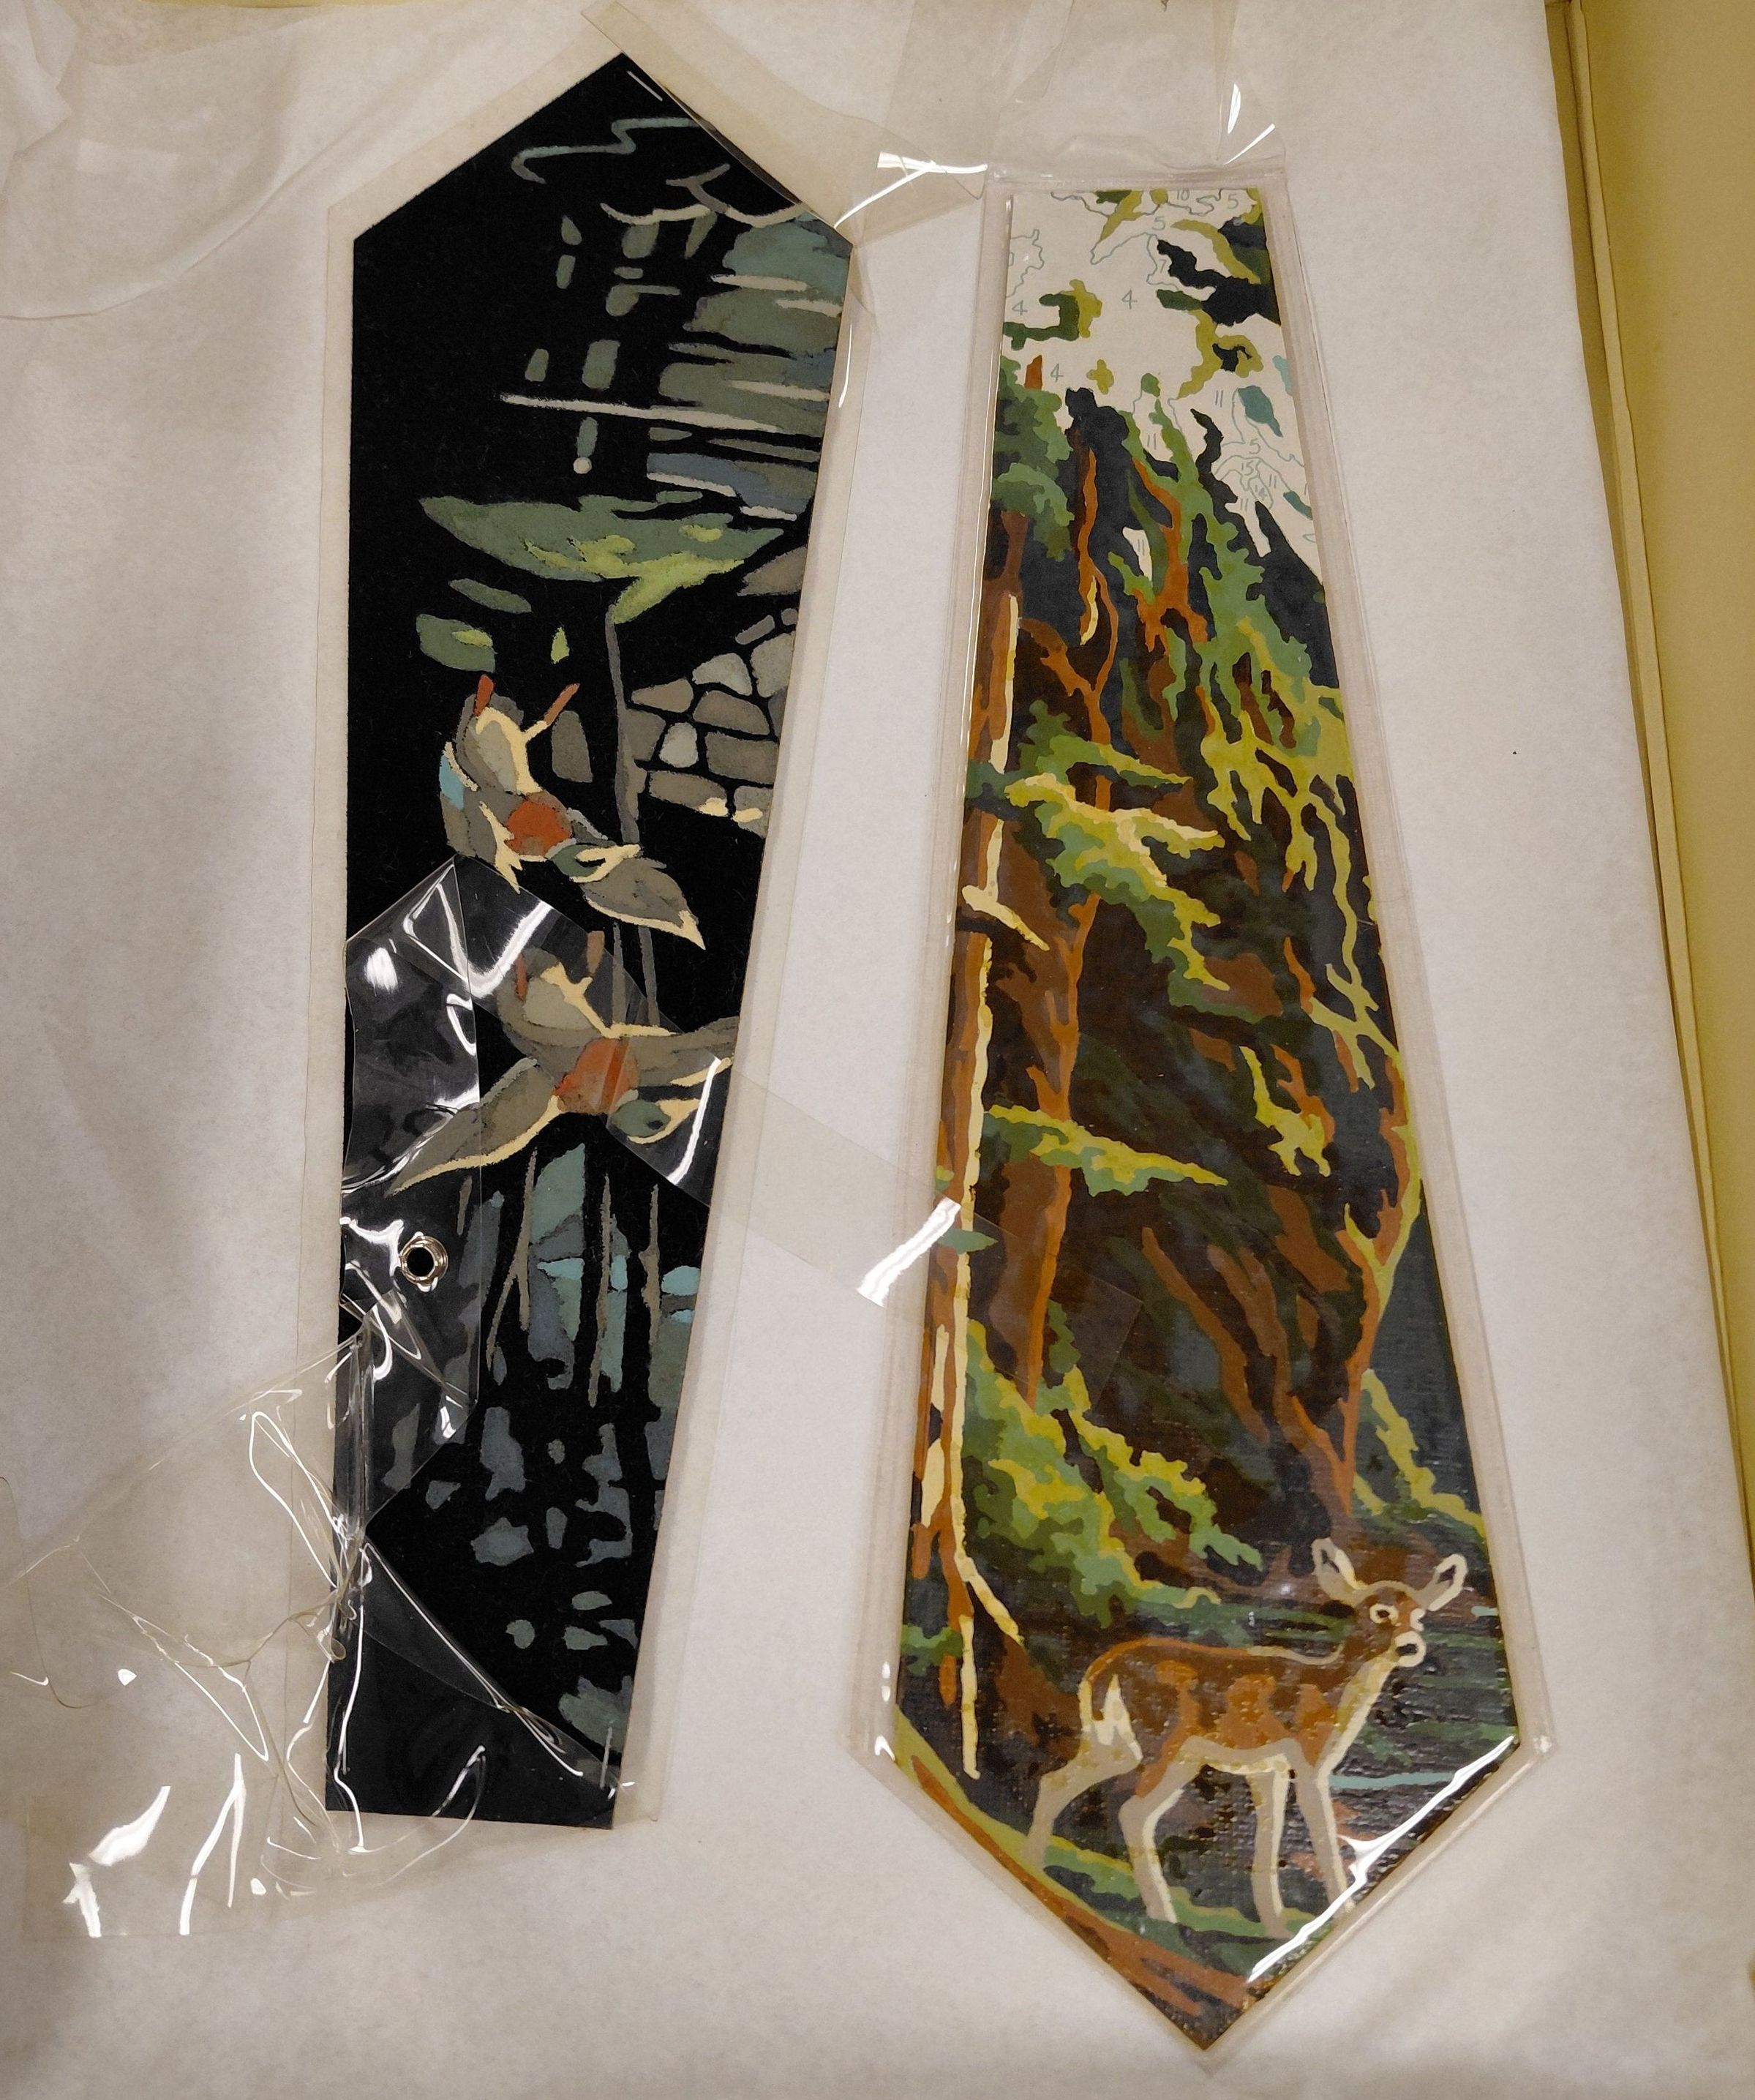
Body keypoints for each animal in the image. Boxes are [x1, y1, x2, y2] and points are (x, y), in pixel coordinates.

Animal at [1021, 1540, 1468, 1938]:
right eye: (1380, 1612)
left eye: (1420, 1616)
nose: (1410, 1647)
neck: (1328, 1691)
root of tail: (1102, 1668)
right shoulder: (1308, 1759)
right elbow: (1322, 1833)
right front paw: (1338, 1915)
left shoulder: (1267, 1768)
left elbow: (1268, 1841)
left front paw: (1276, 1928)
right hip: (1163, 1743)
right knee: (1133, 1812)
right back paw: (1164, 1917)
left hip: (1119, 1743)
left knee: (1056, 1780)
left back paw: (1037, 1867)